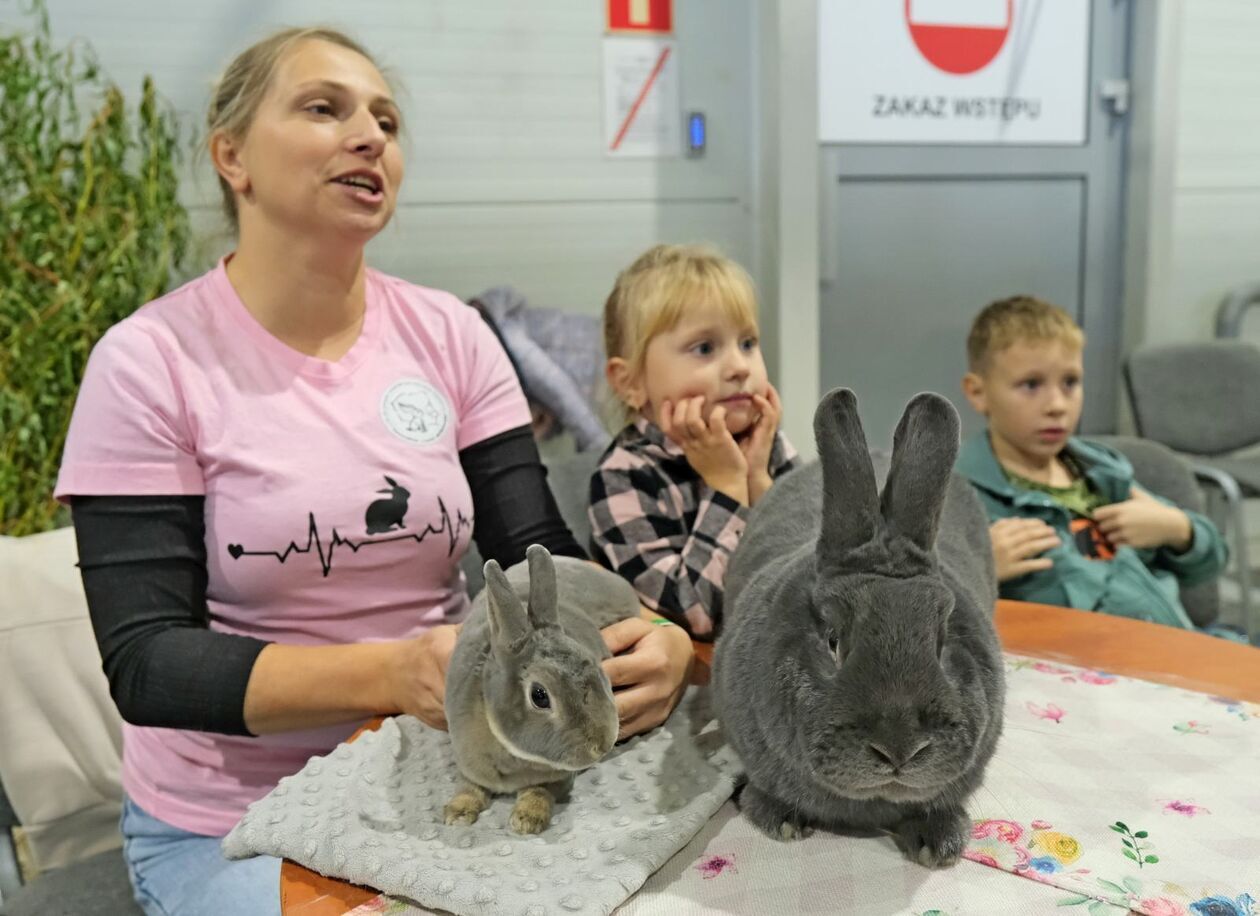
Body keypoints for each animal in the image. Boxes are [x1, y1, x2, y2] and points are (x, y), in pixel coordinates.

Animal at [443, 549, 640, 836]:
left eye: (598, 669)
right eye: (539, 696)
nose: (602, 746)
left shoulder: (554, 779)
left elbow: (539, 791)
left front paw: (527, 820)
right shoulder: (467, 763)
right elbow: (468, 786)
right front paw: (457, 814)